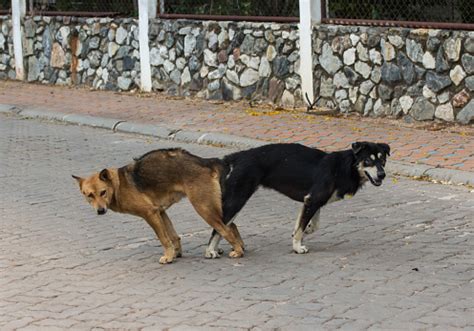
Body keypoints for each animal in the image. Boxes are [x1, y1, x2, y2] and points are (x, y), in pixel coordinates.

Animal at [75, 148, 244, 264]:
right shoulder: (161, 212)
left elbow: (163, 238)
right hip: (212, 208)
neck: (118, 185)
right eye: (89, 195)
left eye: (103, 192)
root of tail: (206, 161)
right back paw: (239, 246)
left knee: (226, 229)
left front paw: (168, 257)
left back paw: (238, 251)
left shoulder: (150, 214)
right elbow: (173, 236)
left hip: (204, 209)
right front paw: (175, 254)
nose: (100, 211)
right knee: (232, 225)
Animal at [206, 141, 390, 258]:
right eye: (368, 160)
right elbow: (302, 227)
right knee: (218, 226)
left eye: (382, 160)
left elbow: (311, 225)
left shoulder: (314, 202)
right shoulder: (313, 200)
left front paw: (302, 232)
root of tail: (236, 157)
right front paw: (297, 247)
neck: (345, 167)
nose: (382, 175)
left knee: (223, 226)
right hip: (238, 198)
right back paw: (210, 251)